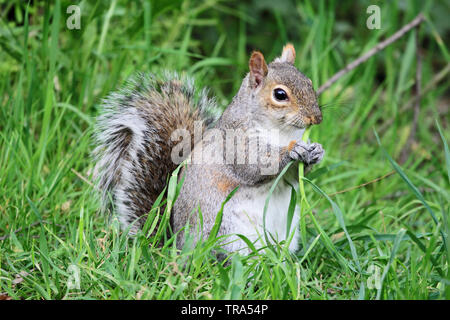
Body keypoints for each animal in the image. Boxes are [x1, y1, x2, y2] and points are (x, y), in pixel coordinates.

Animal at [93, 44, 324, 252]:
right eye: (280, 94)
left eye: (310, 82)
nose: (317, 118)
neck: (282, 131)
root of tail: (175, 247)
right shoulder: (235, 141)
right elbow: (254, 165)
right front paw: (292, 151)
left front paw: (317, 151)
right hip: (229, 235)